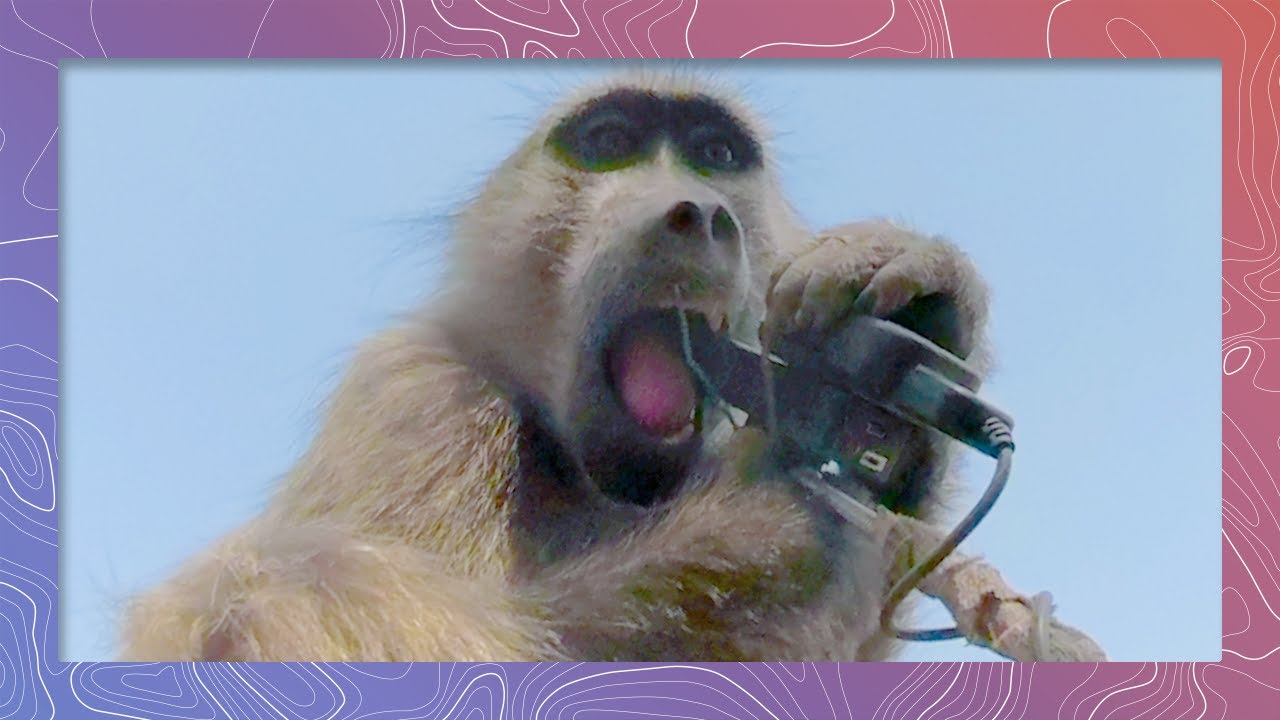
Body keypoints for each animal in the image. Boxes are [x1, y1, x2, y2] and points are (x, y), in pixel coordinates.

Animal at [117, 70, 991, 663]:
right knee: (289, 584)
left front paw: (924, 306)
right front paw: (773, 529)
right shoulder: (418, 398)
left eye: (713, 153)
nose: (698, 214)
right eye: (608, 144)